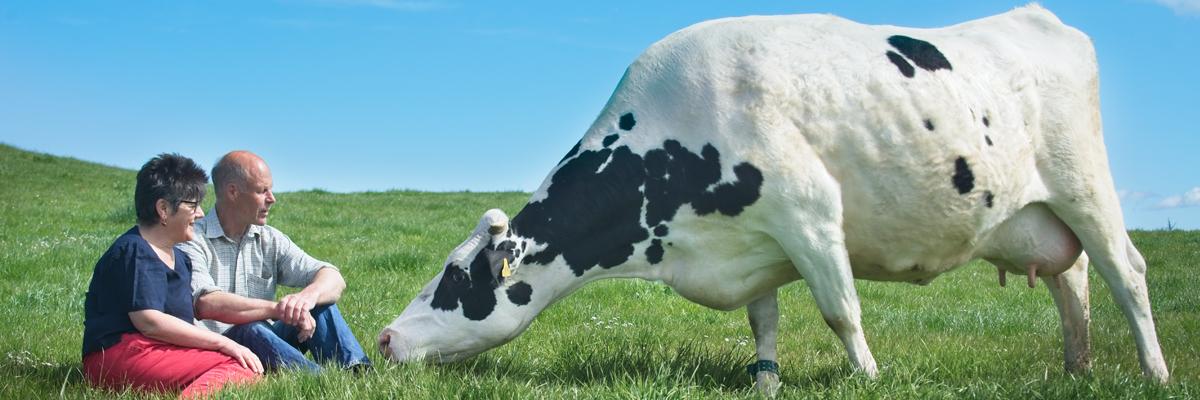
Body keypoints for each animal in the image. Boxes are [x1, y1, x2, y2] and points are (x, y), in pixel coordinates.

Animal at [379, 4, 1166, 391]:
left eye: (456, 278)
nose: (384, 337)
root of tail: (1035, 15)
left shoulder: (809, 212)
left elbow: (841, 310)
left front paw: (870, 379)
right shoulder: (753, 243)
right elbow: (764, 322)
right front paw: (765, 382)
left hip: (1086, 185)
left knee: (1126, 272)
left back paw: (1154, 373)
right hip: (1032, 216)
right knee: (1074, 279)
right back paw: (1076, 369)